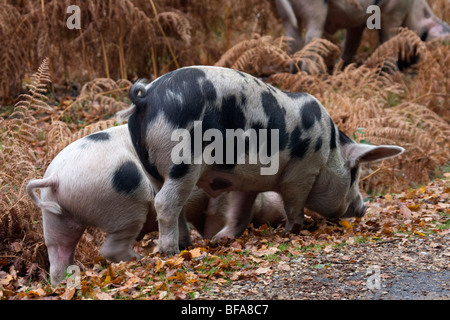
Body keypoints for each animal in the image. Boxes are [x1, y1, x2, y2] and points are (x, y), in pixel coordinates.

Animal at [25, 124, 229, 284]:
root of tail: (56, 177)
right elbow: (216, 216)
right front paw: (214, 240)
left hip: (55, 215)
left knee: (58, 253)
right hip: (125, 206)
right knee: (110, 248)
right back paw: (140, 259)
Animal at [122, 65, 404, 255]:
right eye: (355, 173)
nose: (363, 208)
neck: (328, 150)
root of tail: (147, 96)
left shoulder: (246, 183)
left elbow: (241, 212)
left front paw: (221, 239)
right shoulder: (301, 173)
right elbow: (294, 204)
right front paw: (294, 230)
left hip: (151, 168)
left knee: (170, 201)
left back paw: (187, 245)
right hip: (183, 161)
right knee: (165, 203)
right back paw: (170, 252)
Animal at [276, 0, 448, 64]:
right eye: (424, 37)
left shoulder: (356, 23)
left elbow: (351, 45)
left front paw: (342, 68)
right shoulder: (394, 12)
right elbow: (387, 41)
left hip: (286, 15)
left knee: (293, 41)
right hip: (315, 9)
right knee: (311, 40)